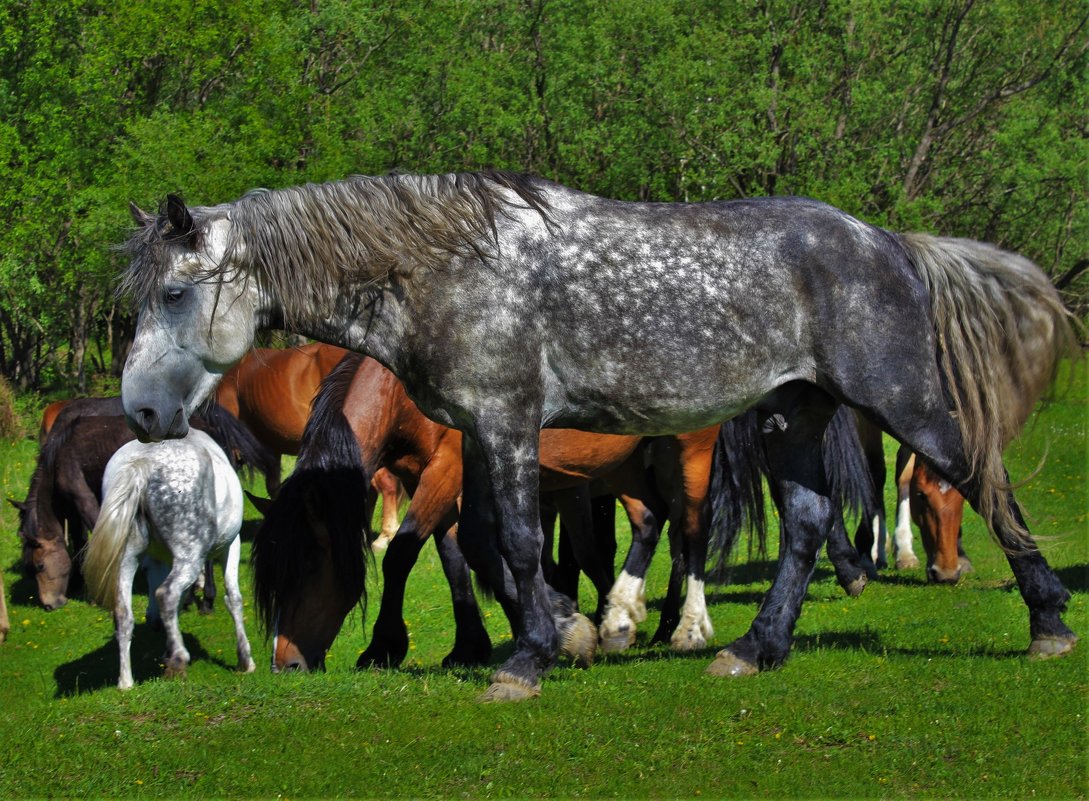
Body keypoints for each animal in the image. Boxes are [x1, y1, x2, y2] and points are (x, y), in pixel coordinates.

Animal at [83, 430, 255, 687]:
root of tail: (142, 464)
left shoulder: (158, 560)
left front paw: (166, 645)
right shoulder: (231, 545)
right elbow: (233, 598)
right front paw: (245, 659)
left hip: (127, 557)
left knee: (123, 612)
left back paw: (126, 682)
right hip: (190, 555)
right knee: (167, 593)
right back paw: (178, 660)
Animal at [121, 170, 1080, 700]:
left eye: (174, 292)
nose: (141, 413)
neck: (444, 267)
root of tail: (885, 241)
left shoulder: (503, 424)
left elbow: (509, 540)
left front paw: (529, 657)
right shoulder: (478, 436)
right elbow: (488, 544)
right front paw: (565, 629)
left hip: (897, 400)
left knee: (980, 480)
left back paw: (1046, 621)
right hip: (791, 413)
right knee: (807, 522)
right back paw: (753, 648)